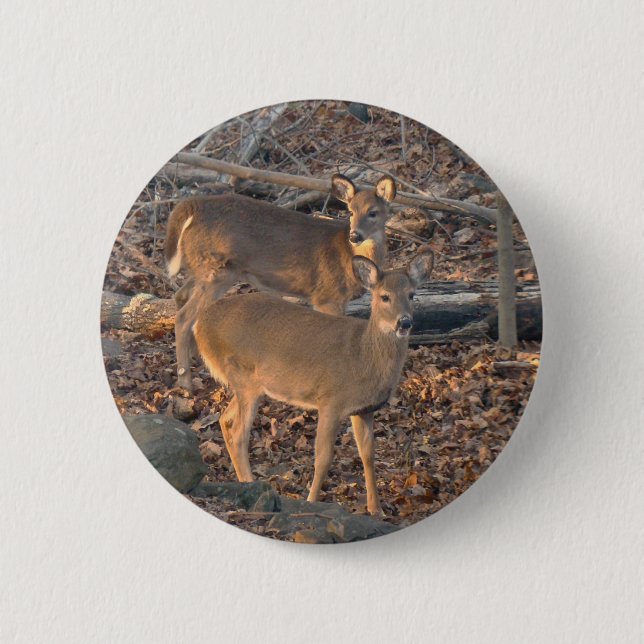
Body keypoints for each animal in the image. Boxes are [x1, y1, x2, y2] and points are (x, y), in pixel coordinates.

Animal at [165, 174, 397, 392]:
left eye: (373, 212)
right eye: (351, 211)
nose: (355, 235)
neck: (347, 256)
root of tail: (191, 206)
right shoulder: (327, 295)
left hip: (204, 268)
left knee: (180, 296)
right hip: (218, 270)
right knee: (184, 316)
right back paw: (185, 381)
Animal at [192, 251, 434, 516]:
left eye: (411, 294)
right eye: (385, 296)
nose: (405, 323)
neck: (363, 355)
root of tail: (200, 325)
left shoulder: (364, 410)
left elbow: (368, 455)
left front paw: (376, 509)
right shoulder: (330, 400)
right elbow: (324, 457)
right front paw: (311, 502)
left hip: (247, 384)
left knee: (225, 419)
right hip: (244, 377)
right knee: (238, 433)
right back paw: (252, 485)